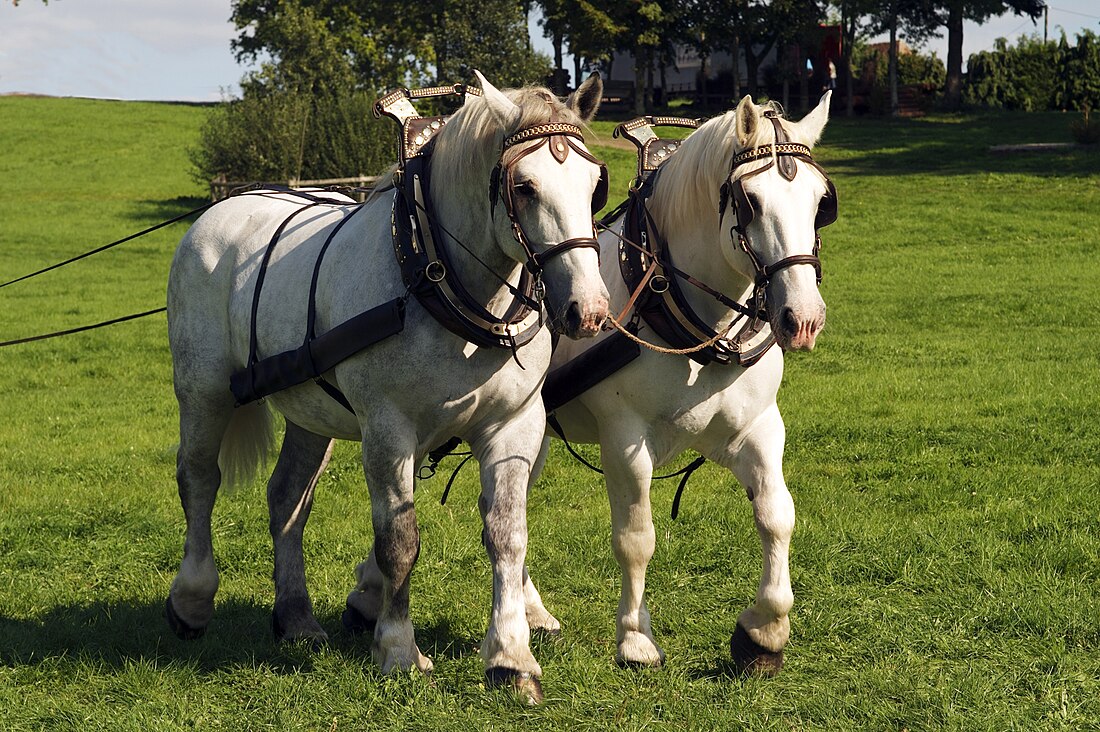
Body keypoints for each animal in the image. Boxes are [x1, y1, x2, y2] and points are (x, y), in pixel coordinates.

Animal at [163, 71, 611, 700]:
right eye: (524, 186)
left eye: (595, 187)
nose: (588, 311)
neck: (434, 276)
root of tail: (220, 208)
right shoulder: (388, 430)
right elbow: (399, 540)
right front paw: (398, 649)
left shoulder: (514, 424)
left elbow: (507, 534)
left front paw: (510, 658)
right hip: (203, 391)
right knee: (199, 479)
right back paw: (192, 600)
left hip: (311, 413)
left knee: (287, 499)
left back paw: (295, 617)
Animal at [519, 93, 827, 673]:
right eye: (750, 201)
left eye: (821, 199)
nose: (803, 319)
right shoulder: (625, 442)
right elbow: (636, 538)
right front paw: (635, 640)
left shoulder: (757, 429)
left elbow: (778, 516)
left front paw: (763, 633)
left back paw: (533, 615)